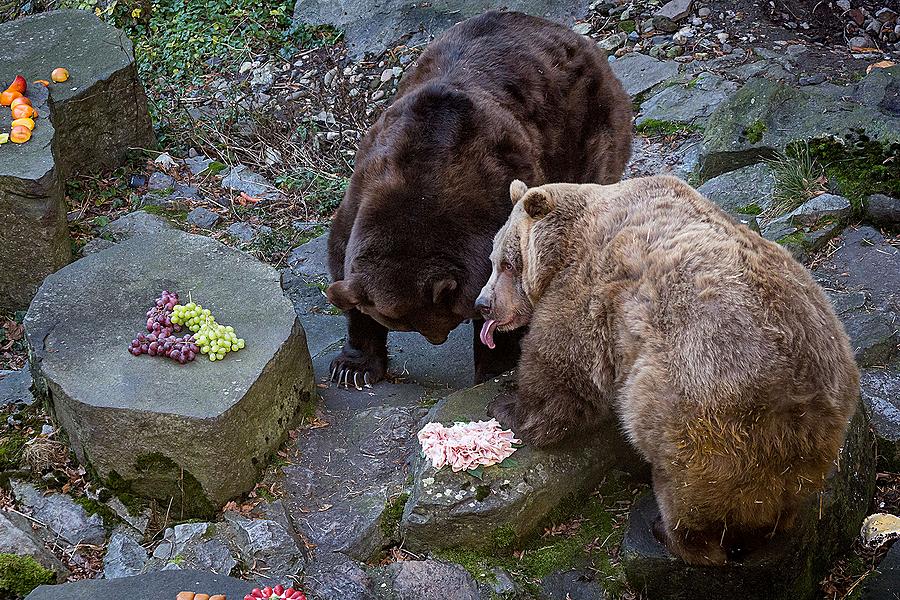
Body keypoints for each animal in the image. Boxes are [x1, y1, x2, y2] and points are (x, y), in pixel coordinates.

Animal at [326, 9, 632, 390]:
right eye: (403, 323)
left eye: (439, 318)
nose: (437, 338)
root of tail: (571, 33)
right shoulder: (359, 198)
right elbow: (346, 281)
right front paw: (352, 367)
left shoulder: (495, 191)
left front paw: (494, 366)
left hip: (583, 130)